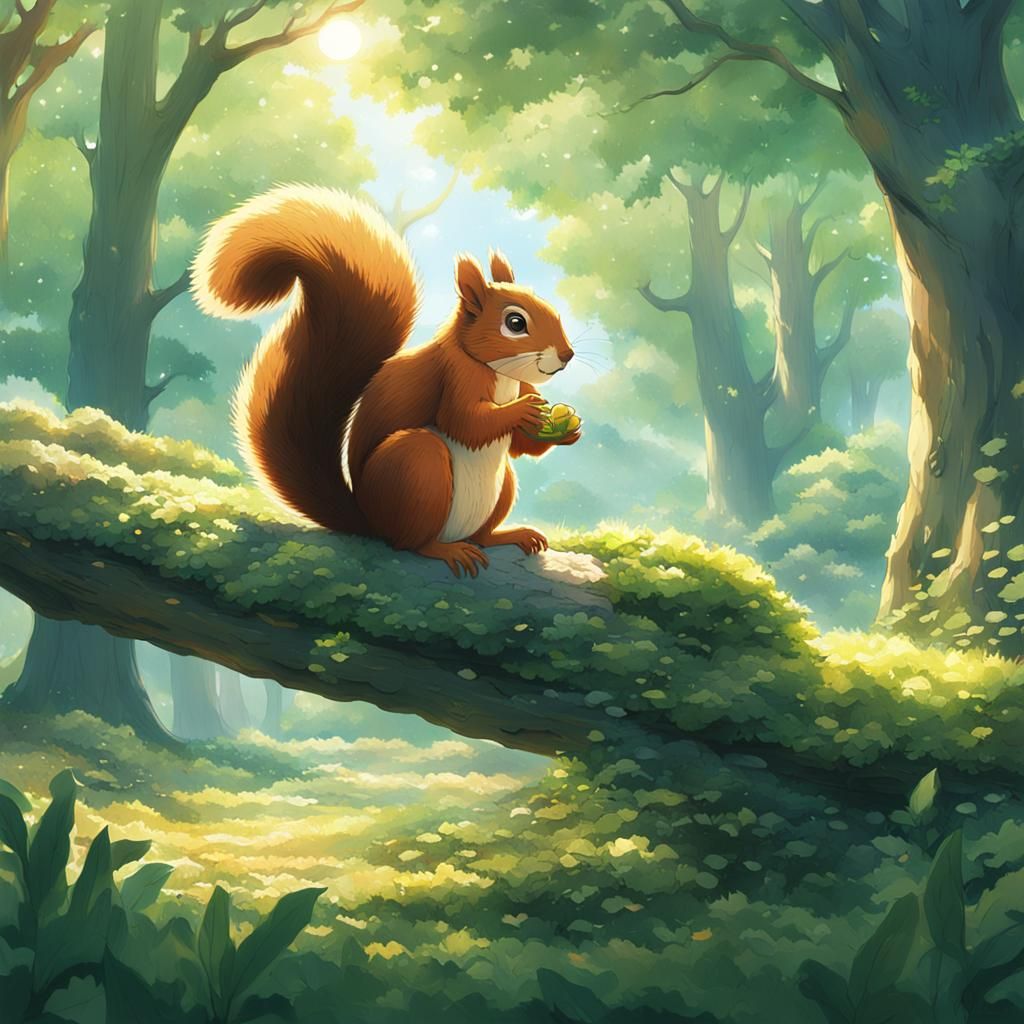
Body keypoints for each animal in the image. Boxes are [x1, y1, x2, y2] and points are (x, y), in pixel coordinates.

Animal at [192, 185, 580, 578]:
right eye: (515, 323)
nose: (567, 354)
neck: (500, 373)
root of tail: (370, 522)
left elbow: (517, 447)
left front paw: (565, 431)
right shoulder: (455, 377)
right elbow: (465, 423)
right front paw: (525, 410)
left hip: (500, 486)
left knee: (481, 533)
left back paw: (509, 535)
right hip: (418, 466)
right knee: (411, 541)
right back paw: (445, 550)